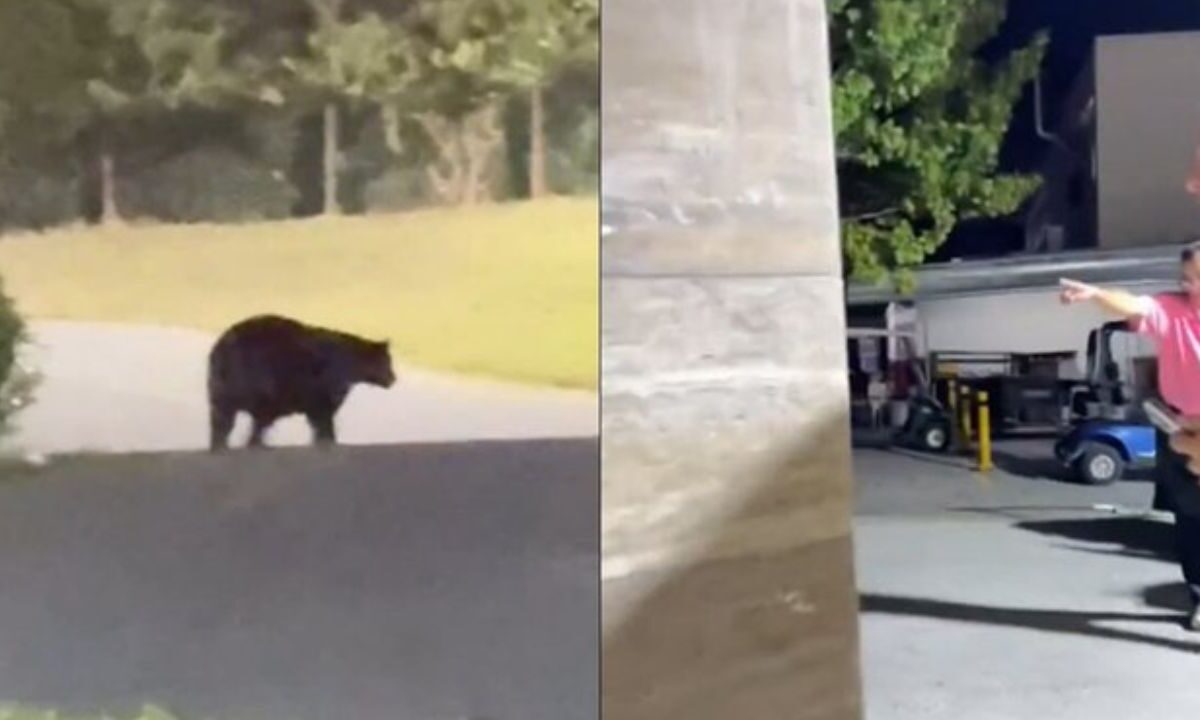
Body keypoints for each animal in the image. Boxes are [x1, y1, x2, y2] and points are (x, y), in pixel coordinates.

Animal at [206, 314, 393, 451]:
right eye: (388, 362)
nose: (393, 378)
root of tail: (222, 349)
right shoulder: (323, 385)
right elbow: (324, 416)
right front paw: (328, 440)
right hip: (261, 378)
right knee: (253, 416)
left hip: (223, 387)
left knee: (224, 418)